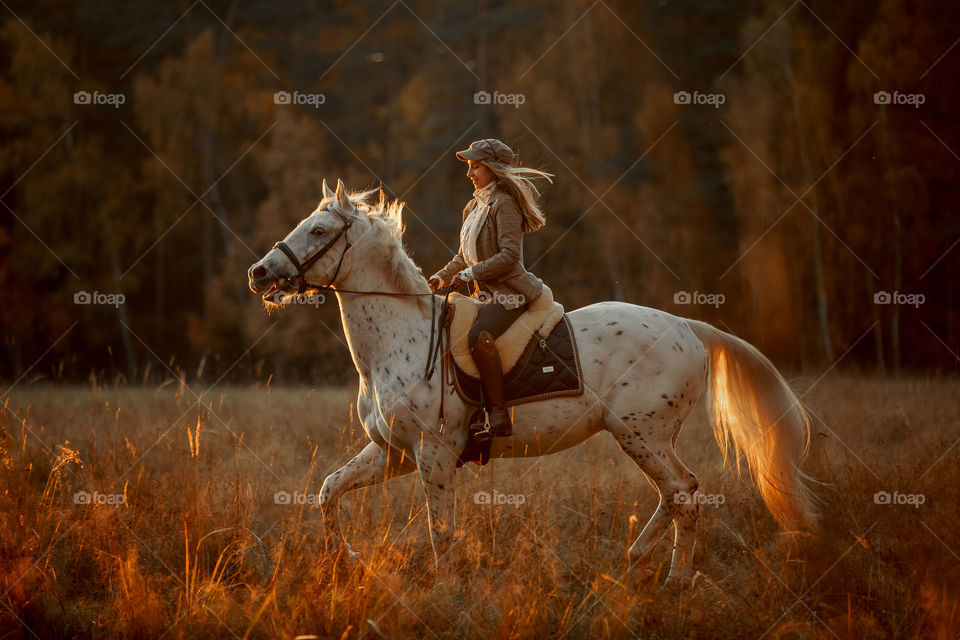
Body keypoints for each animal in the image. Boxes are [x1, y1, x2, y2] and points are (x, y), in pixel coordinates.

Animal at [248, 179, 816, 584]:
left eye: (318, 231)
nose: (259, 273)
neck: (397, 338)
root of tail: (686, 325)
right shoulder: (392, 452)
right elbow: (328, 491)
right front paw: (345, 557)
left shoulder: (434, 454)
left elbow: (441, 531)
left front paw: (443, 591)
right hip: (643, 435)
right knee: (678, 494)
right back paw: (643, 561)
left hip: (641, 433)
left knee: (683, 492)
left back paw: (670, 575)